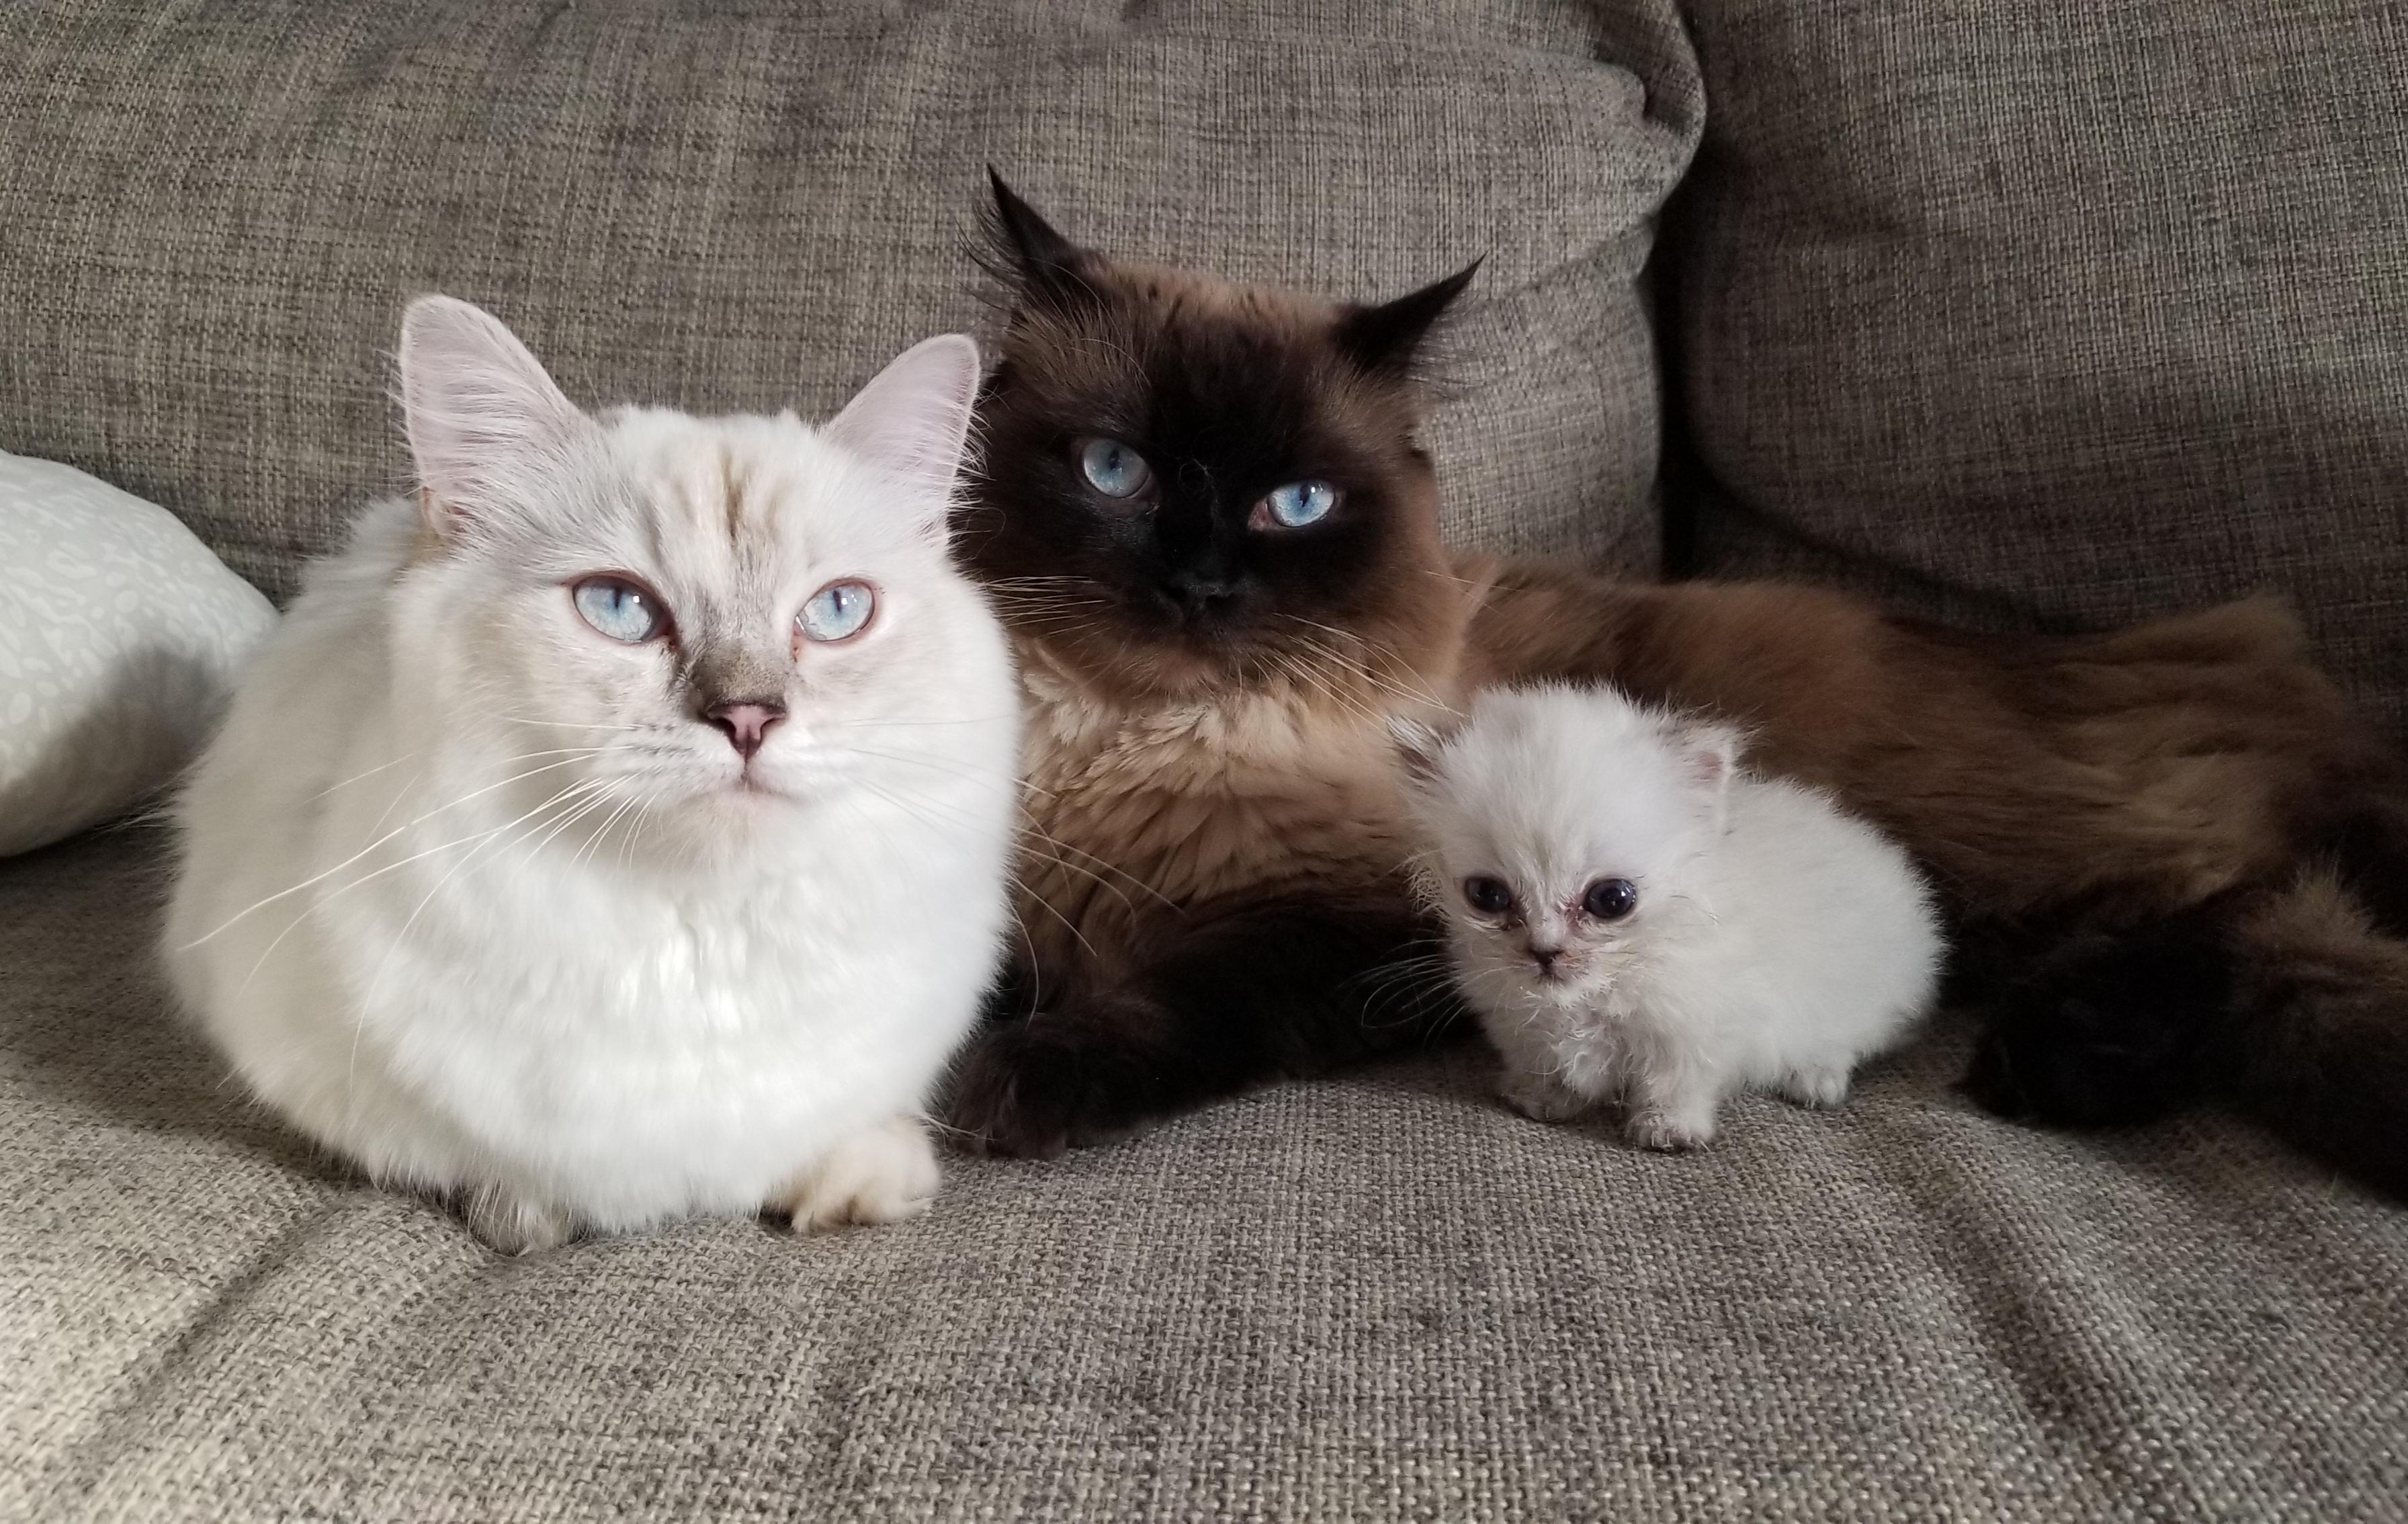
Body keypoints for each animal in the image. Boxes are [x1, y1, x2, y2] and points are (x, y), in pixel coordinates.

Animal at [165, 294, 1021, 1252]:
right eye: (618, 607)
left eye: (837, 611)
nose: (749, 719)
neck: (699, 939)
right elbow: (469, 1160)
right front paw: (526, 1218)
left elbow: (847, 1127)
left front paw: (858, 1186)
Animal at [1396, 683, 1936, 1146]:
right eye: (1487, 895)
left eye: (1613, 900)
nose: (1544, 953)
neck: (1594, 994)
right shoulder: (1518, 1023)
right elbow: (1545, 1062)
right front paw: (1543, 1098)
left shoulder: (1696, 1030)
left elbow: (1675, 1082)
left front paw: (1667, 1129)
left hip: (1862, 997)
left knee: (1857, 1037)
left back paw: (1815, 1076)